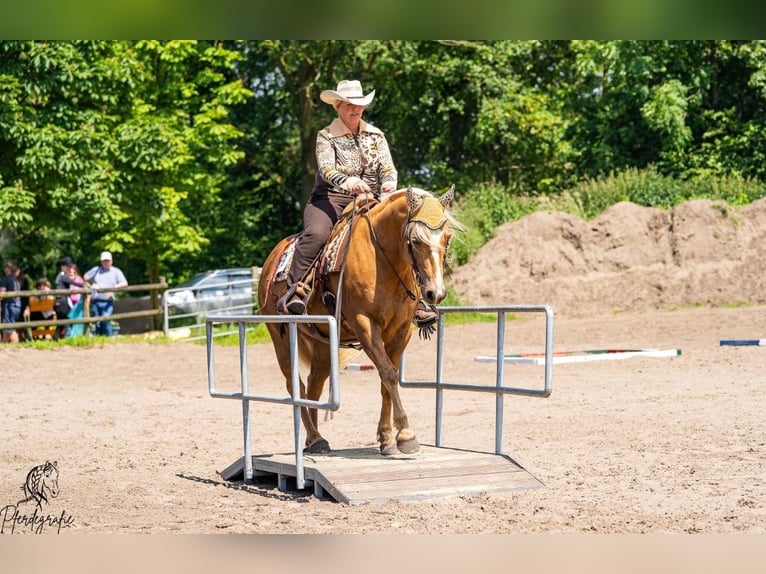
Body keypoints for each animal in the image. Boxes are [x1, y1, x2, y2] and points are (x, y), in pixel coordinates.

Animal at [258, 186, 459, 456]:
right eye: (416, 240)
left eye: (447, 237)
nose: (435, 293)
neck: (382, 260)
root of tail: (271, 261)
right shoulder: (365, 325)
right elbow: (388, 374)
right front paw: (406, 435)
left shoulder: (401, 330)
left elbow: (387, 379)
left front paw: (386, 438)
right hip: (281, 336)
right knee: (294, 385)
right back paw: (315, 437)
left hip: (322, 344)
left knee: (313, 385)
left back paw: (315, 441)